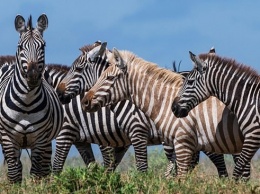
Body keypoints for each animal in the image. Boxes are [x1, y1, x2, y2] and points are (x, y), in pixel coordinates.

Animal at [0, 14, 63, 183]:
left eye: (43, 46)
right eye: (20, 47)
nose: (33, 76)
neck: (26, 103)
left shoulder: (40, 139)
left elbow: (36, 172)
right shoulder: (8, 138)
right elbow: (14, 172)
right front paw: (15, 186)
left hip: (47, 140)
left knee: (45, 167)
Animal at [55, 42, 238, 179]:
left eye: (78, 69)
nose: (59, 93)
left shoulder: (137, 132)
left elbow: (141, 168)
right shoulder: (121, 140)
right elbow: (109, 167)